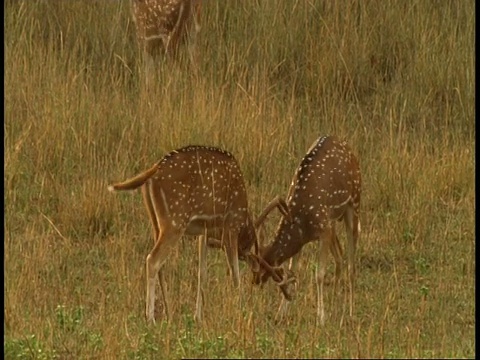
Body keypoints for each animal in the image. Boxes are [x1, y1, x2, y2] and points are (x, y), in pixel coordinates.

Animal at [107, 145, 290, 324]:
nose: (256, 281)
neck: (244, 221)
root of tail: (153, 170)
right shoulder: (231, 225)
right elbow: (235, 274)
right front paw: (240, 310)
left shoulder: (204, 232)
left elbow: (202, 272)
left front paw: (198, 317)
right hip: (175, 221)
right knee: (153, 260)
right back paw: (150, 319)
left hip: (155, 222)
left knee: (160, 265)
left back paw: (168, 313)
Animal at [251, 134, 360, 324]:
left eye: (265, 268)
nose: (255, 280)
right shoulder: (311, 234)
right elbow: (292, 271)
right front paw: (281, 313)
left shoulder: (324, 229)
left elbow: (319, 275)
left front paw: (321, 317)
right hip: (334, 221)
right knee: (340, 256)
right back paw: (335, 304)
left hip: (354, 202)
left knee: (351, 262)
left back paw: (350, 312)